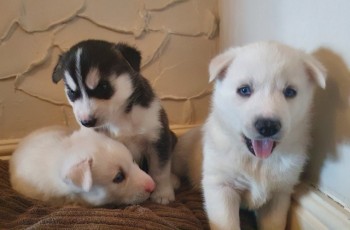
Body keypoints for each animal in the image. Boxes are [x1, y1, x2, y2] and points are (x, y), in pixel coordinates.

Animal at [51, 40, 178, 204]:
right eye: (72, 93)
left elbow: (160, 170)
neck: (119, 117)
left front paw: (162, 194)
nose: (86, 122)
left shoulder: (158, 137)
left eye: (103, 86)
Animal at [174, 41, 326, 230]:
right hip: (182, 153)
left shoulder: (279, 195)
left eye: (290, 92)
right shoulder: (221, 187)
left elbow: (274, 224)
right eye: (244, 90)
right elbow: (227, 224)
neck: (257, 162)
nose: (267, 126)